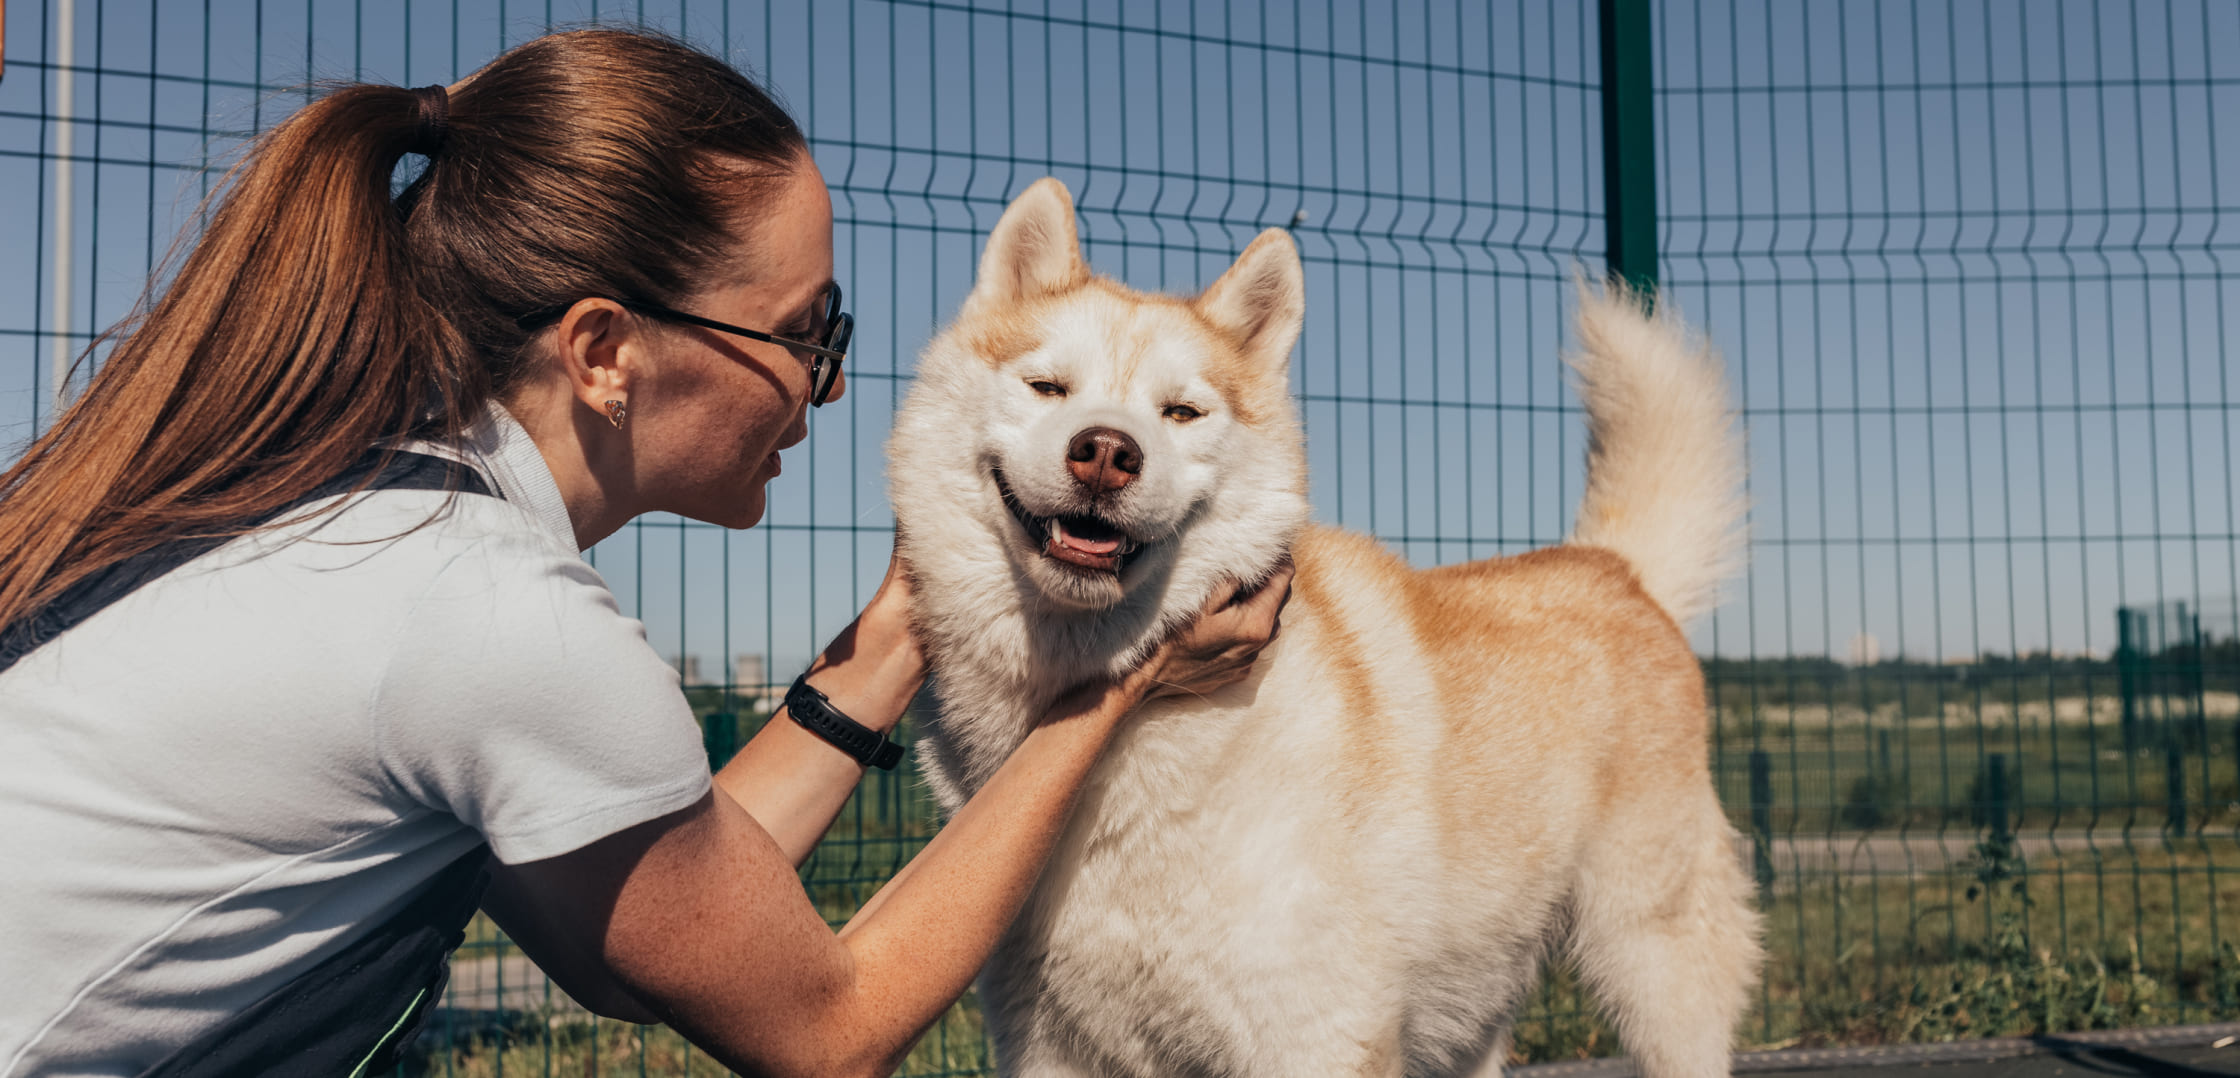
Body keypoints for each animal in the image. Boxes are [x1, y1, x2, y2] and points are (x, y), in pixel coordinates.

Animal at [882, 178, 1756, 1075]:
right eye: (1048, 388)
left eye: (1182, 412)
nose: (1105, 453)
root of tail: (1613, 567)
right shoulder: (1052, 1046)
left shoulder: (1317, 1031)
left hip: (1653, 963)